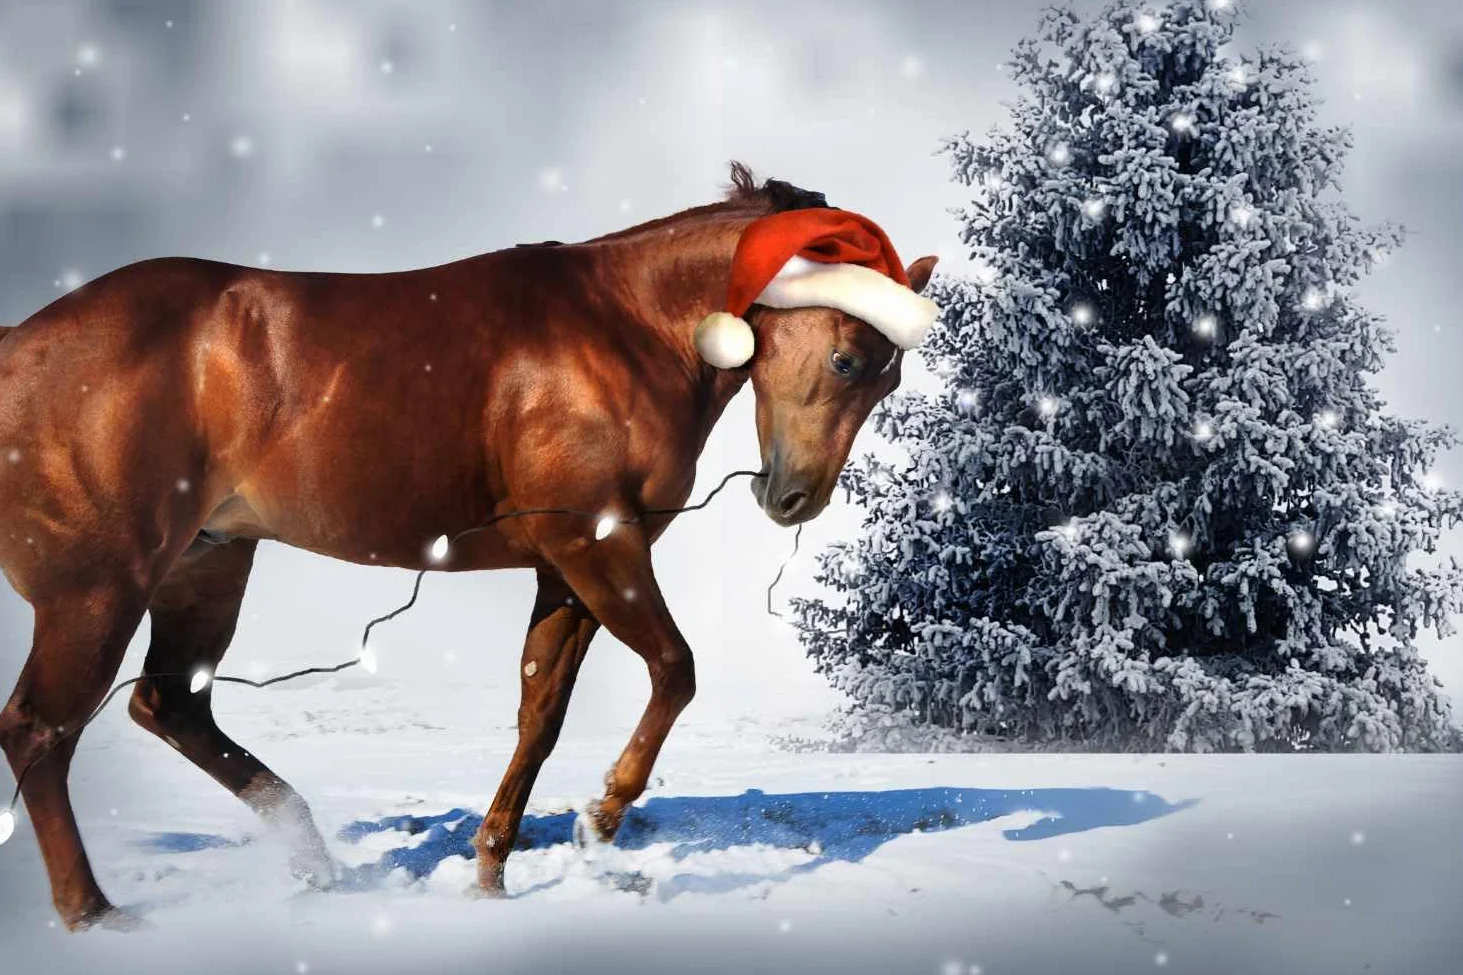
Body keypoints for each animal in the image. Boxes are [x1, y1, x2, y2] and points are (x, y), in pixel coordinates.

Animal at [0, 163, 936, 930]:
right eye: (848, 359)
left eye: (891, 375)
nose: (793, 497)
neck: (626, 328)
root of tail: (18, 346)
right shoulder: (598, 545)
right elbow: (676, 669)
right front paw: (600, 817)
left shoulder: (562, 570)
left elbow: (540, 715)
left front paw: (491, 869)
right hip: (98, 589)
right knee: (40, 730)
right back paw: (96, 914)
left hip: (208, 562)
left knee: (169, 706)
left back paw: (311, 858)